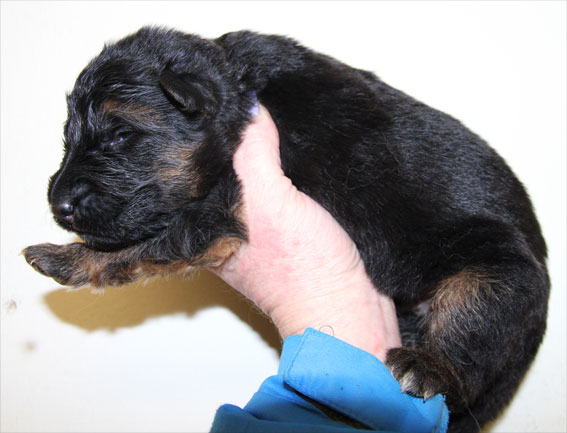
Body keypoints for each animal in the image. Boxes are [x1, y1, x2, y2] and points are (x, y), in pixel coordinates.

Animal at [23, 27, 549, 432]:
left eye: (120, 135)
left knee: (470, 338)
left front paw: (64, 258)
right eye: (68, 137)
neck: (238, 86)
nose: (58, 205)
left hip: (496, 273)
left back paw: (428, 368)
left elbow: (147, 243)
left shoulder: (220, 210)